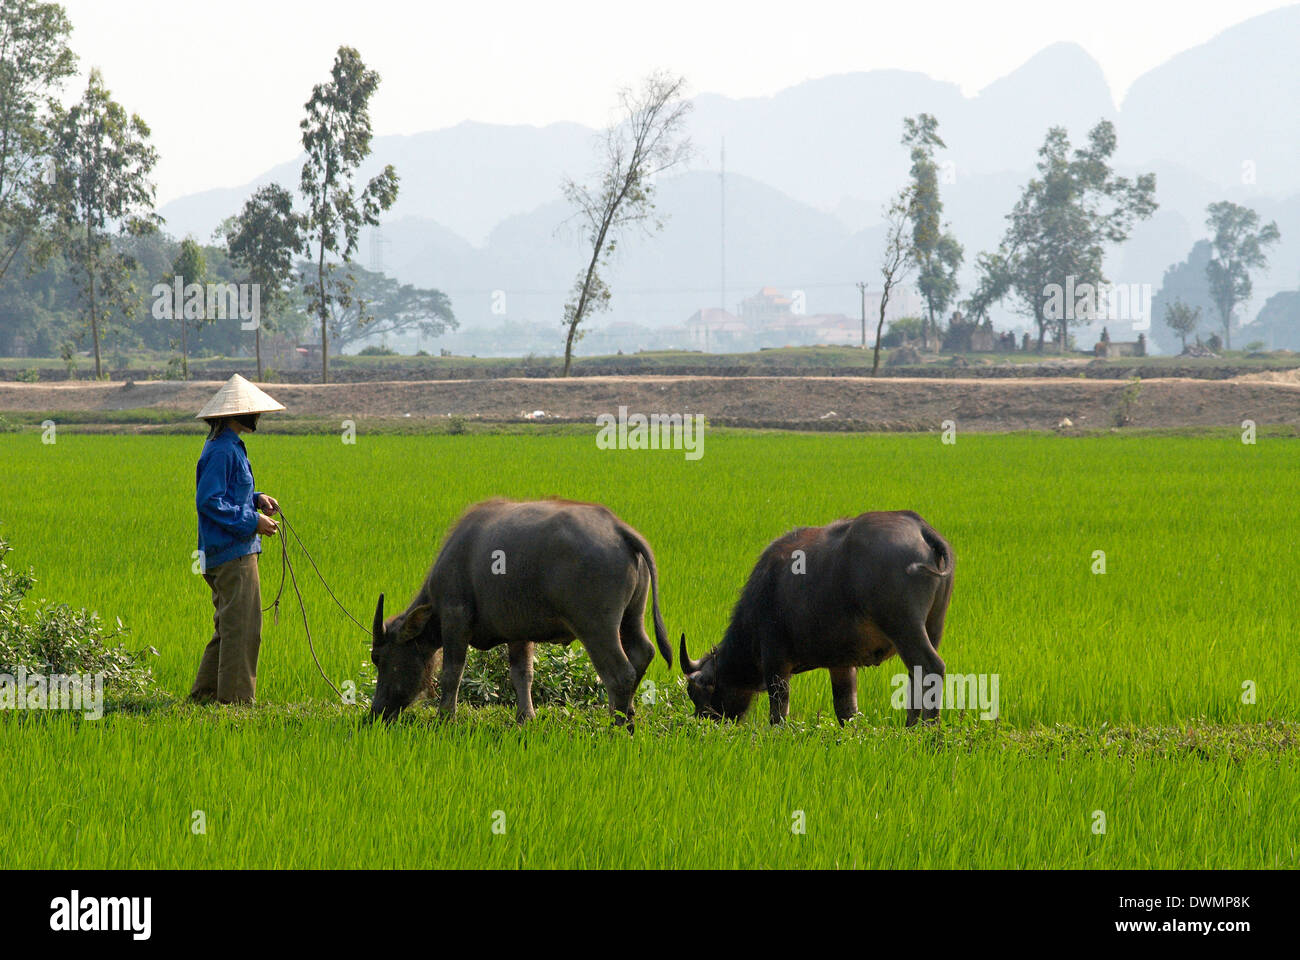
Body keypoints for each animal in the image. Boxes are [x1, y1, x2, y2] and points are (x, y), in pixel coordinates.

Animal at [369, 496, 665, 723]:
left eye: (379, 657)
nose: (375, 713)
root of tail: (616, 528)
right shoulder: (518, 633)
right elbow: (523, 674)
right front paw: (526, 717)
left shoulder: (455, 618)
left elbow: (452, 672)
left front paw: (445, 717)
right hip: (631, 618)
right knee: (643, 653)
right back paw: (628, 715)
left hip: (596, 627)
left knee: (620, 674)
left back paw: (617, 727)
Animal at [681, 509, 956, 723]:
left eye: (697, 694)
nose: (700, 721)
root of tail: (920, 527)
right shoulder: (842, 665)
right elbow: (846, 710)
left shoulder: (775, 660)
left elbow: (778, 712)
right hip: (933, 627)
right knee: (915, 676)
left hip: (904, 627)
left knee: (931, 667)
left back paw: (925, 729)